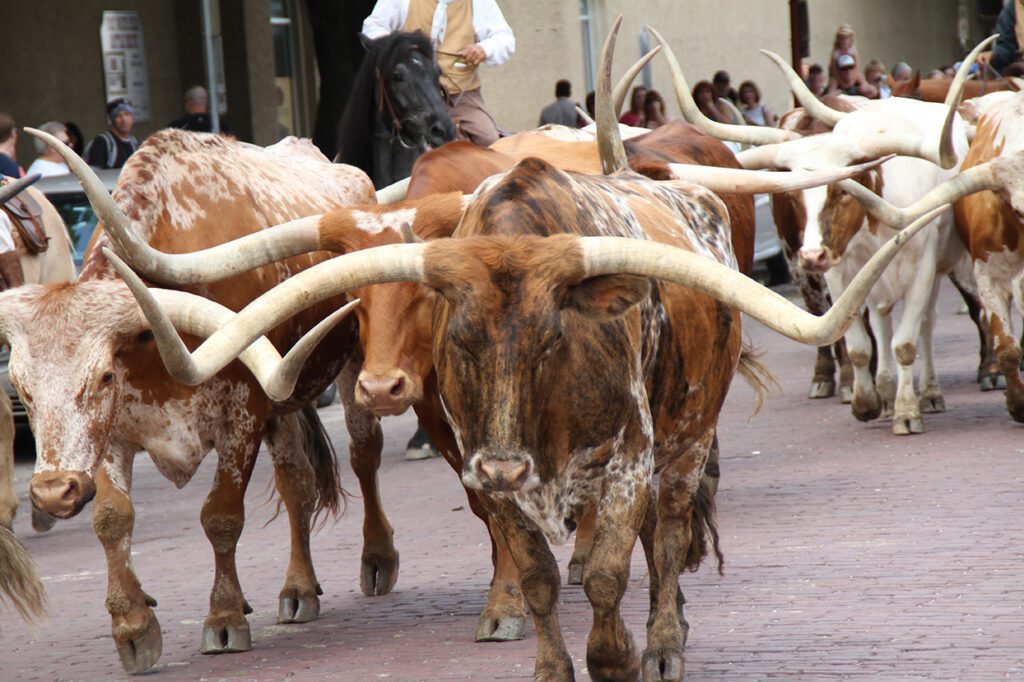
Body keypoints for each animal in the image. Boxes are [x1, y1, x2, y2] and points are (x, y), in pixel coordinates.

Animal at [10, 128, 377, 673]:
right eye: (21, 387)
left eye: (103, 376)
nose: (54, 491)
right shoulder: (113, 434)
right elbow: (112, 519)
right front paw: (134, 628)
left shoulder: (243, 417)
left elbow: (221, 516)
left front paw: (224, 618)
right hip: (284, 408)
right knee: (298, 483)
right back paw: (298, 589)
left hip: (353, 362)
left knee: (363, 452)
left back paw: (378, 562)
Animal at [94, 19, 939, 680]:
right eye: (455, 333)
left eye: (550, 340)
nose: (381, 386)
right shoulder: (481, 458)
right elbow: (533, 574)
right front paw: (542, 649)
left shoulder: (625, 461)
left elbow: (608, 573)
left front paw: (616, 654)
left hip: (688, 435)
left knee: (669, 532)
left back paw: (666, 637)